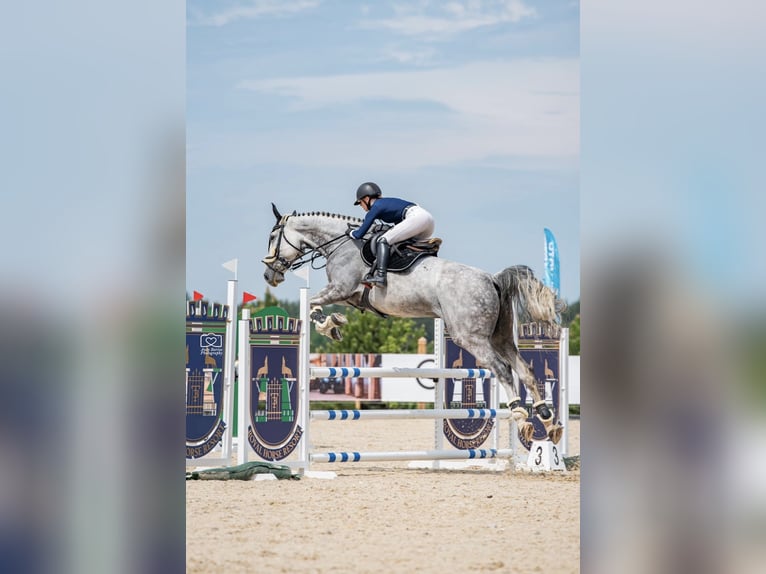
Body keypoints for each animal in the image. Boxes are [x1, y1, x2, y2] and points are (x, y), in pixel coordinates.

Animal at [260, 207, 568, 446]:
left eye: (273, 237)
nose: (269, 275)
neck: (341, 243)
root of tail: (491, 279)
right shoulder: (350, 296)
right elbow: (321, 306)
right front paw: (335, 323)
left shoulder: (340, 289)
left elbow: (313, 303)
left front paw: (330, 325)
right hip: (500, 337)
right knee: (524, 369)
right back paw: (548, 420)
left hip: (470, 337)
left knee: (503, 369)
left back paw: (521, 418)